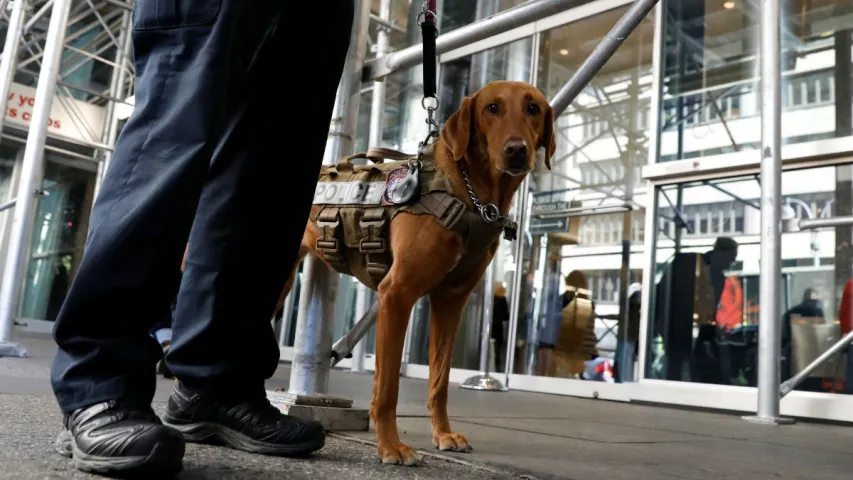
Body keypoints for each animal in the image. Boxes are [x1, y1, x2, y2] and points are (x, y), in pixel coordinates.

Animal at [276, 81, 556, 464]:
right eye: (492, 108)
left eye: (533, 108)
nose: (517, 150)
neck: (470, 193)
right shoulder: (396, 294)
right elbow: (388, 386)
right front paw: (390, 445)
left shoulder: (450, 303)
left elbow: (439, 380)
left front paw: (443, 435)